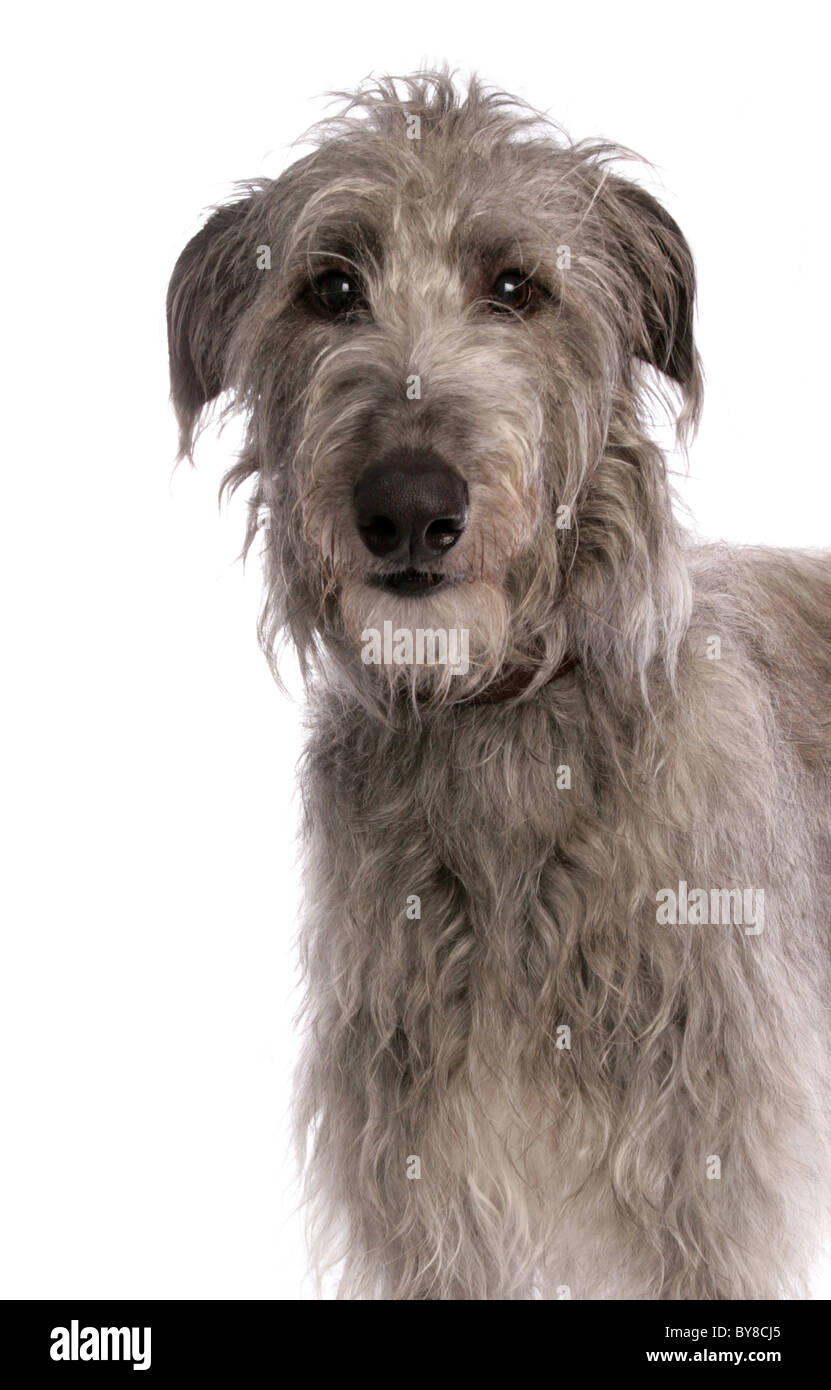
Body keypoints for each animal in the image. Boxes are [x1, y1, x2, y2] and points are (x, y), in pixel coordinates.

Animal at [164, 70, 831, 1295]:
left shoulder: (716, 1182)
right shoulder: (423, 1194)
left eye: (518, 285)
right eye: (328, 285)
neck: (506, 732)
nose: (406, 506)